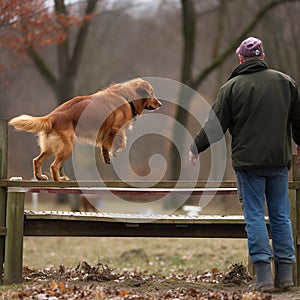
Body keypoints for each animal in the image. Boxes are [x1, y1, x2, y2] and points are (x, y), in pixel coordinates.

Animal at [9, 78, 162, 180]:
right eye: (152, 93)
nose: (160, 104)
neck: (127, 97)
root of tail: (52, 116)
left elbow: (118, 141)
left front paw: (109, 153)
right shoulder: (114, 127)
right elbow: (119, 142)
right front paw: (111, 153)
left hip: (52, 146)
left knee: (37, 160)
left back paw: (40, 177)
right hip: (68, 146)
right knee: (54, 166)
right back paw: (58, 180)